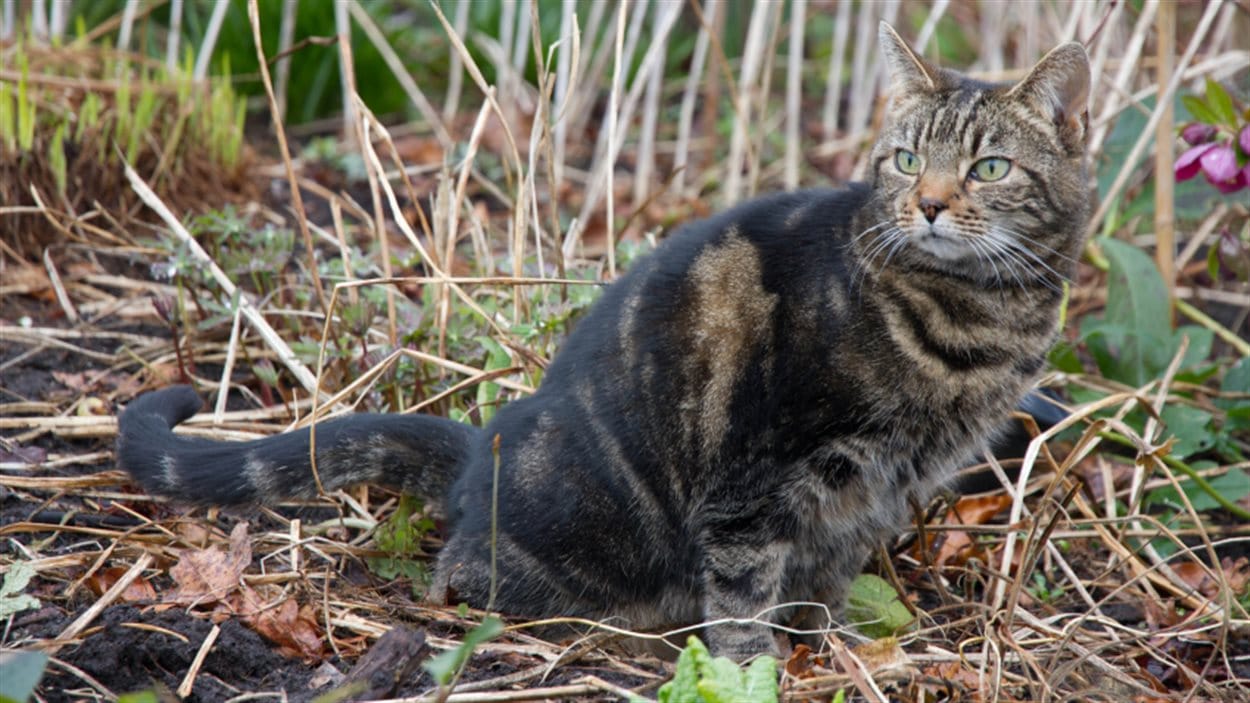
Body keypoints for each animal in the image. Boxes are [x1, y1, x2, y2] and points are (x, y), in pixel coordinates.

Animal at [119, 23, 1095, 655]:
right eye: (905, 158)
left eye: (989, 168)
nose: (927, 202)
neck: (975, 321)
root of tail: (482, 450)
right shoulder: (756, 480)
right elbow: (744, 604)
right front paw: (758, 669)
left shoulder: (874, 493)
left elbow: (824, 583)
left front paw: (840, 651)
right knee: (465, 573)